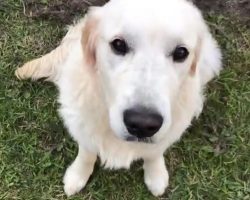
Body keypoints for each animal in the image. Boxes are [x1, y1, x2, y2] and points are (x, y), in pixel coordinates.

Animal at [15, 0, 222, 197]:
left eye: (181, 52)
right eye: (118, 44)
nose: (142, 124)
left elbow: (154, 154)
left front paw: (156, 176)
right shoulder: (84, 129)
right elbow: (86, 153)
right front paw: (77, 176)